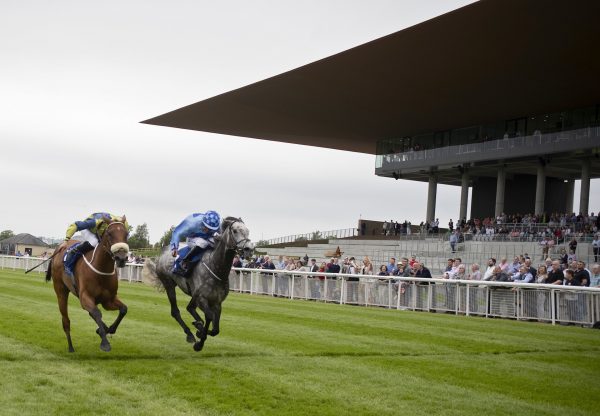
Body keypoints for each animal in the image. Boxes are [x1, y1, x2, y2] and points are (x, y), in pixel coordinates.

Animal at [46, 218, 131, 352]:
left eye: (126, 234)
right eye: (109, 234)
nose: (121, 258)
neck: (101, 269)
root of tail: (58, 249)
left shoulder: (108, 300)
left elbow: (123, 309)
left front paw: (108, 329)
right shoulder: (85, 296)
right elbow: (97, 313)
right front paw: (105, 343)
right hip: (61, 291)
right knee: (66, 320)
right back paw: (71, 347)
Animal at [144, 218, 252, 352]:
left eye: (248, 231)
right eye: (235, 230)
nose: (249, 249)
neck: (216, 268)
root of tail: (163, 252)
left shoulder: (217, 302)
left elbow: (215, 330)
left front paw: (200, 330)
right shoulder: (202, 298)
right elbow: (209, 316)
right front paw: (199, 342)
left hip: (193, 294)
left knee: (190, 308)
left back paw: (197, 324)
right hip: (169, 284)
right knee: (175, 311)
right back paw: (190, 334)